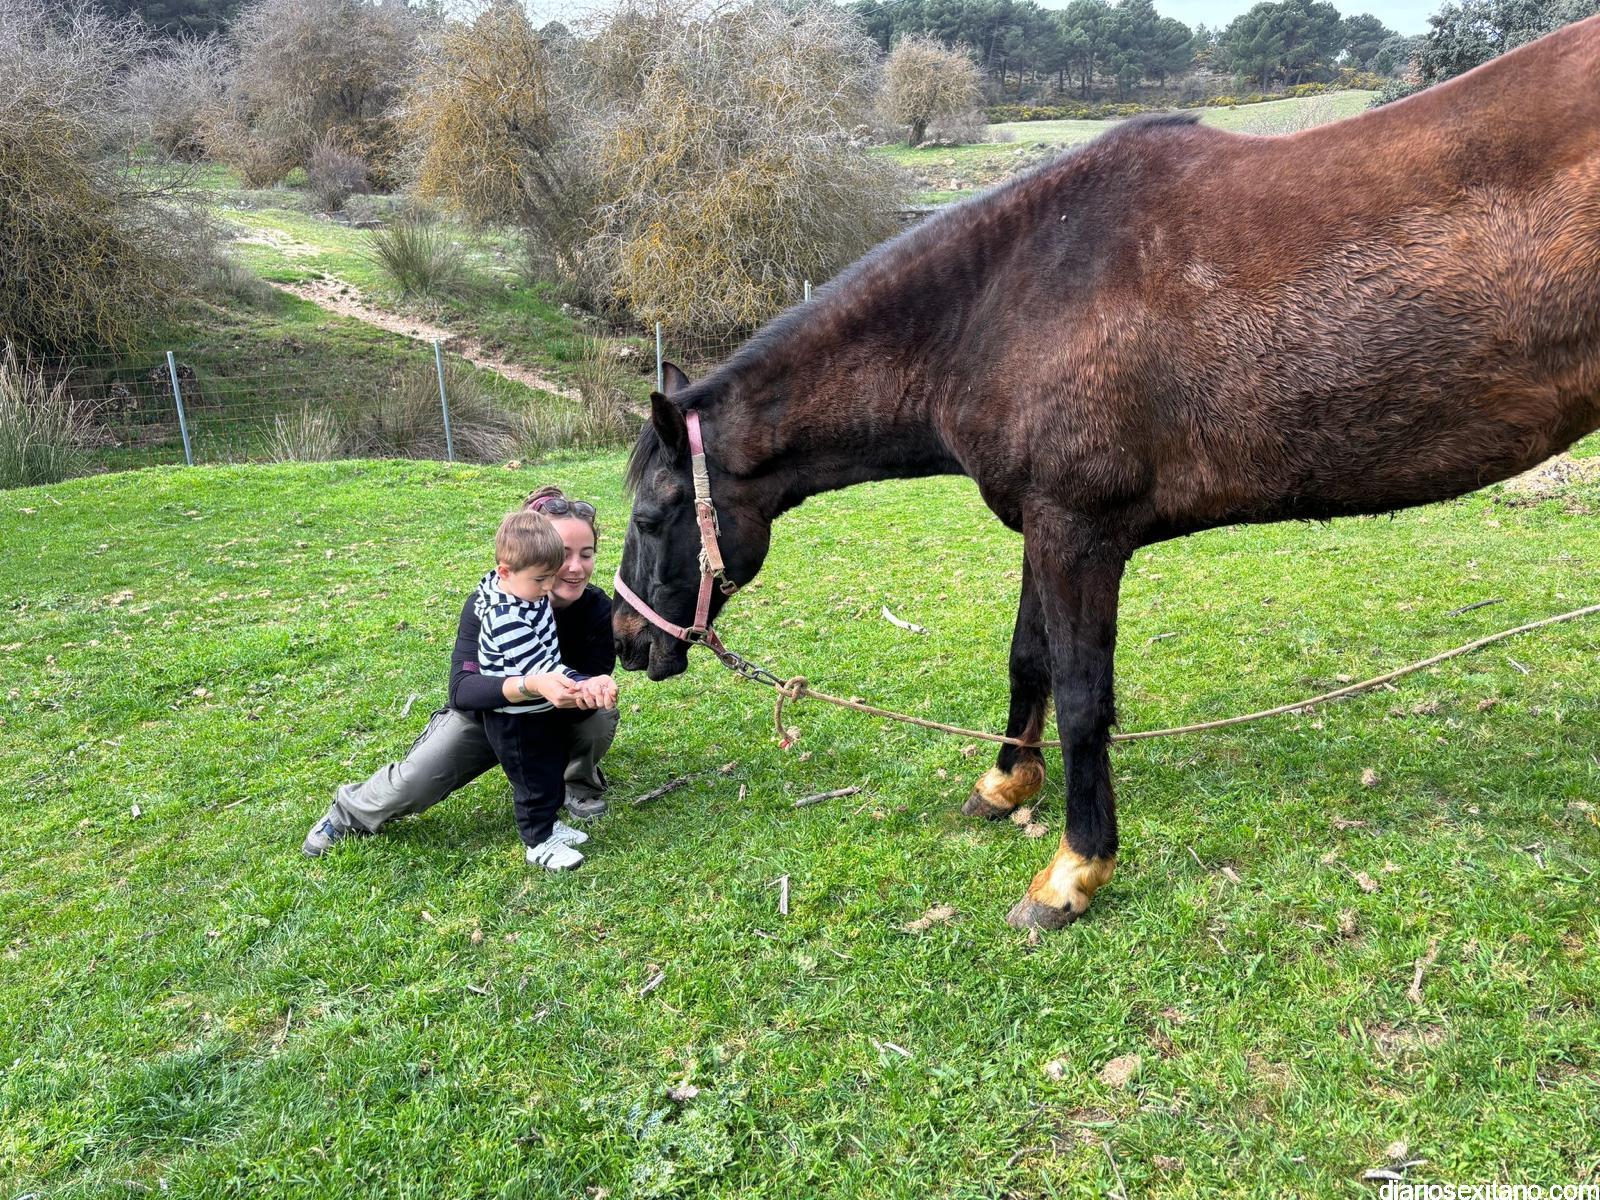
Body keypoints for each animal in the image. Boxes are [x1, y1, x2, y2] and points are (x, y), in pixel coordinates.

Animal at [612, 16, 1600, 931]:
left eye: (656, 517)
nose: (625, 642)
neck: (999, 304)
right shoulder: (1043, 524)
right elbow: (1029, 659)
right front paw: (1006, 784)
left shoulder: (1080, 532)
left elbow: (1084, 693)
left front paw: (1074, 870)